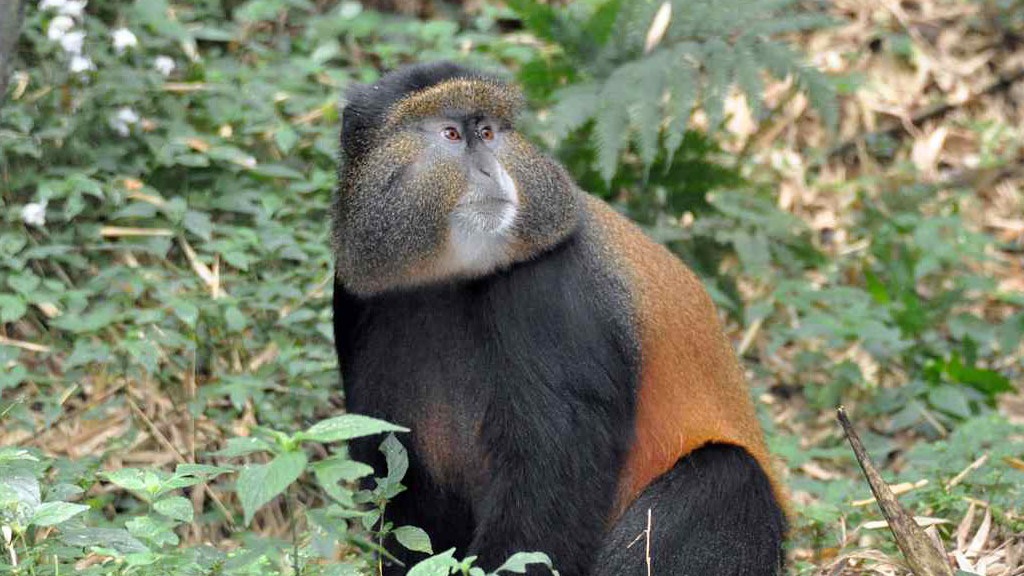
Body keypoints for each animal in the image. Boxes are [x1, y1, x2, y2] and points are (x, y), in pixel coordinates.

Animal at [331, 61, 787, 576]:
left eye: (487, 132)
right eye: (451, 134)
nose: (490, 168)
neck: (449, 278)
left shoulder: (552, 291)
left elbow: (552, 483)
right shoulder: (353, 292)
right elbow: (391, 467)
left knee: (730, 475)